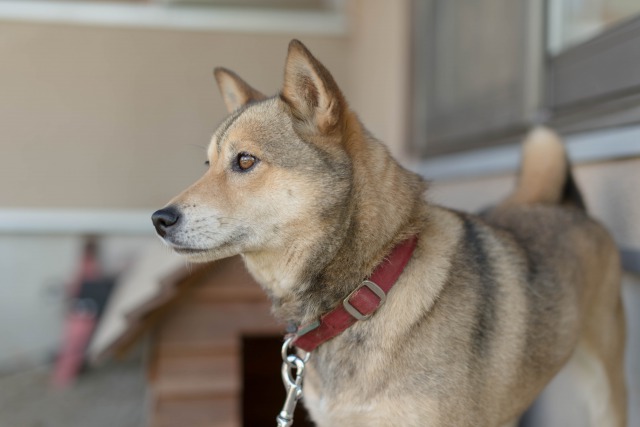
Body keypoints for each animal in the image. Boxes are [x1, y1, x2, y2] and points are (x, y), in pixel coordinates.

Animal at [152, 40, 627, 426]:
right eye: (208, 165)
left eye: (246, 161)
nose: (159, 219)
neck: (367, 286)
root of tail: (561, 204)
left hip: (604, 385)